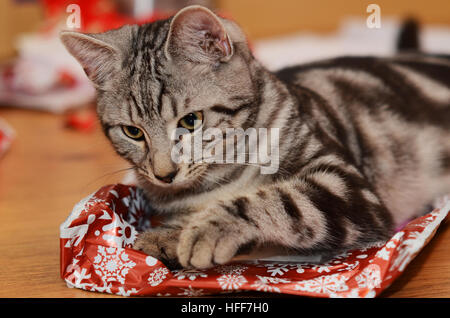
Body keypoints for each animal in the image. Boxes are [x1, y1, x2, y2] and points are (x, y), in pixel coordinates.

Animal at [59, 5, 450, 268]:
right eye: (133, 131)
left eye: (190, 121)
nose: (164, 174)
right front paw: (171, 234)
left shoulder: (349, 188)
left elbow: (283, 200)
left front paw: (209, 228)